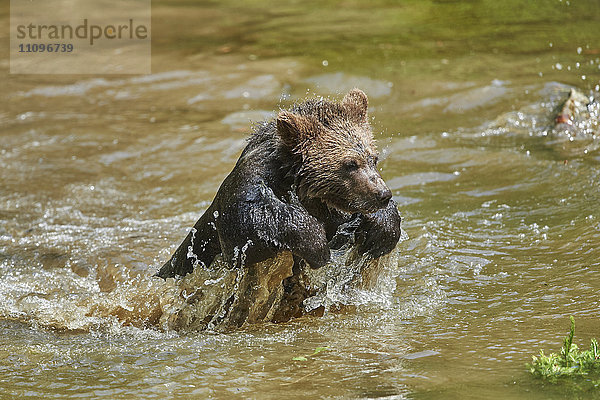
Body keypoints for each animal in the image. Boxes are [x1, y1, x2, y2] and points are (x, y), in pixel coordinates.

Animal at [158, 88, 404, 328]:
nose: (382, 194)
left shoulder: (331, 210)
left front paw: (381, 230)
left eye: (374, 157)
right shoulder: (249, 186)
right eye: (350, 164)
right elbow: (243, 222)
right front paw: (317, 245)